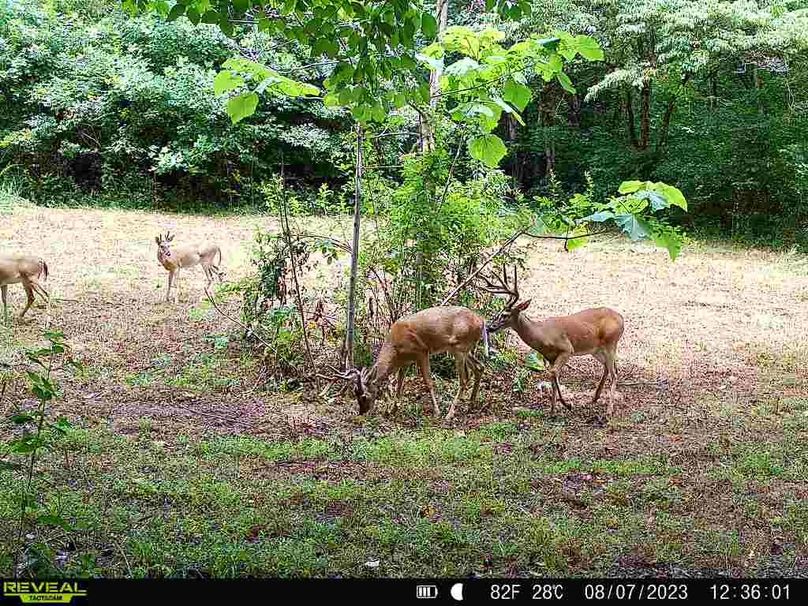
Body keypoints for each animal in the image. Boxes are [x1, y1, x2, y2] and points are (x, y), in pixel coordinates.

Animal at [338, 306, 488, 420]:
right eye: (355, 394)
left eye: (364, 396)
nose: (362, 412)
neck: (395, 349)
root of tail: (482, 321)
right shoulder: (405, 362)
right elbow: (399, 387)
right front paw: (391, 411)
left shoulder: (422, 352)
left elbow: (428, 382)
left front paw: (437, 412)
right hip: (461, 349)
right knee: (479, 367)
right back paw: (470, 405)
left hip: (460, 347)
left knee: (464, 378)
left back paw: (450, 414)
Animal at [481, 266, 624, 417]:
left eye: (505, 315)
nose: (490, 327)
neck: (542, 334)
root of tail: (621, 318)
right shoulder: (549, 357)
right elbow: (553, 377)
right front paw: (552, 410)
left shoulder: (567, 349)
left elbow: (554, 373)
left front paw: (566, 404)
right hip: (597, 350)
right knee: (609, 368)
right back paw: (595, 397)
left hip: (611, 343)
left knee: (614, 373)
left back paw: (609, 410)